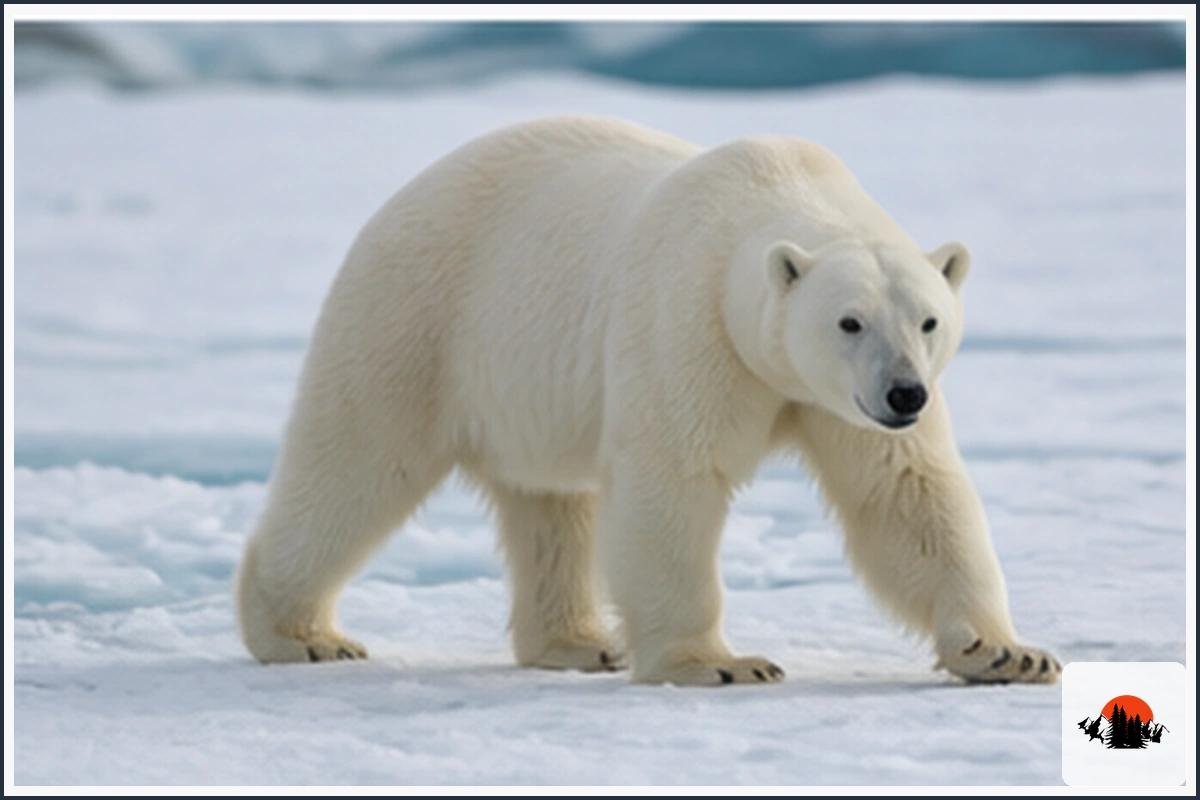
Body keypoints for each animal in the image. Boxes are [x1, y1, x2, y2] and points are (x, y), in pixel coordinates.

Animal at [236, 115, 1060, 686]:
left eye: (928, 320)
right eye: (849, 321)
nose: (904, 392)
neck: (775, 190)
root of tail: (402, 196)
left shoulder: (837, 404)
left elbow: (905, 494)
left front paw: (1007, 654)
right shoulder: (690, 325)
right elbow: (676, 483)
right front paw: (723, 664)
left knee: (551, 506)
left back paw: (578, 642)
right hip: (417, 320)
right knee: (358, 464)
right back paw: (302, 636)